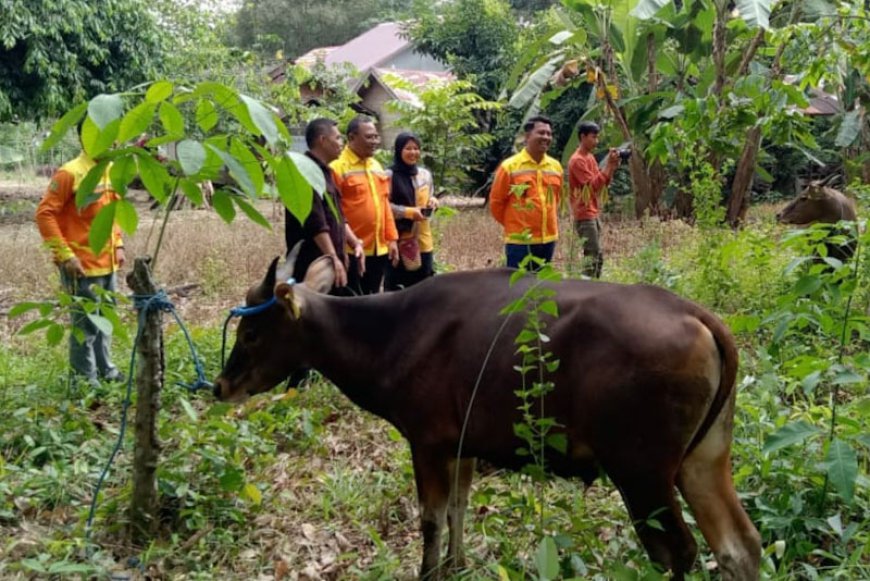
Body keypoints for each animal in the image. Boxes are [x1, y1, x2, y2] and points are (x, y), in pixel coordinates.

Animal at [213, 256, 764, 576]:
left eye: (252, 335)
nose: (222, 386)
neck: (387, 334)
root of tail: (700, 317)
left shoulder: (427, 442)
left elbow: (431, 519)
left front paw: (430, 571)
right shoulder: (463, 447)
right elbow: (458, 509)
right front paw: (457, 565)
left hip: (641, 471)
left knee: (677, 552)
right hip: (703, 459)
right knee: (739, 546)